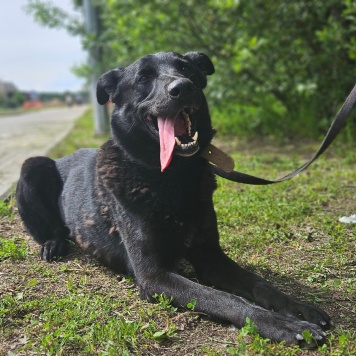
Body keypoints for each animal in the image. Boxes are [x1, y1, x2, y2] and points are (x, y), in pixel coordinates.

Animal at [16, 52, 330, 348]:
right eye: (143, 77)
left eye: (186, 69)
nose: (184, 87)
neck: (173, 177)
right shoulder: (155, 276)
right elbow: (227, 300)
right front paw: (284, 326)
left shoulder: (210, 256)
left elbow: (258, 283)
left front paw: (298, 309)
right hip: (31, 165)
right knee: (49, 227)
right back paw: (53, 243)